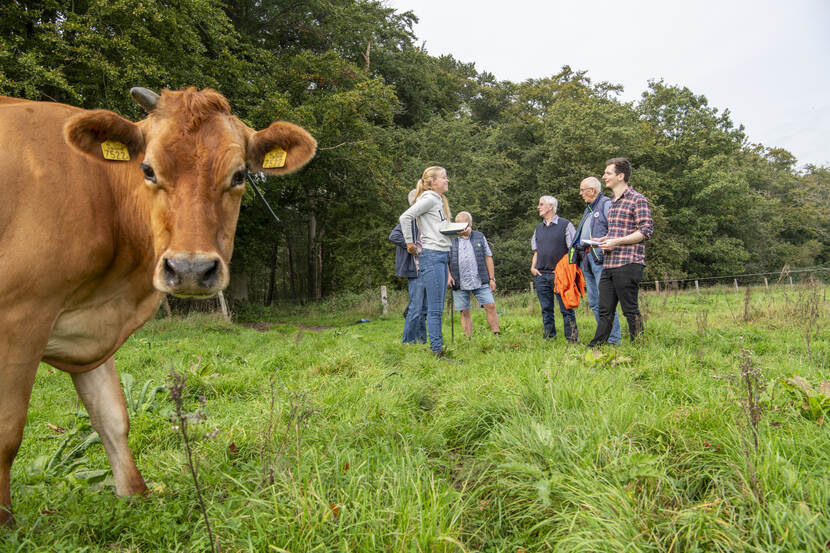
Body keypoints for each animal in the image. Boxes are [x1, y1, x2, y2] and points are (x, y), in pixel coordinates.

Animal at [0, 86, 318, 520]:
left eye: (239, 175)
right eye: (148, 169)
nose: (190, 269)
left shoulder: (88, 331)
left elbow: (112, 416)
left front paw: (135, 496)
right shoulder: (21, 316)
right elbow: (8, 432)